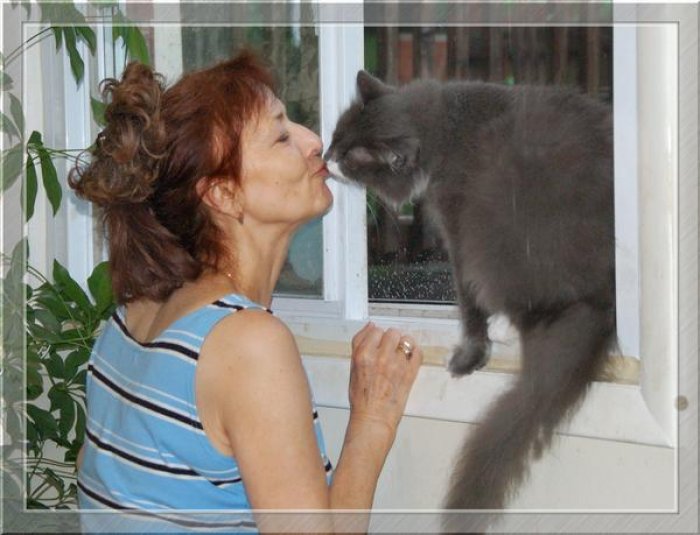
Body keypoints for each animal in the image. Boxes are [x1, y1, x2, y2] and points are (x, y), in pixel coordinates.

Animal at [324, 71, 617, 529]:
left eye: (348, 156)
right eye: (337, 137)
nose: (324, 157)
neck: (445, 127)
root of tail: (600, 302)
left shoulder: (458, 224)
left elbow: (468, 299)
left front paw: (469, 354)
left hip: (494, 228)